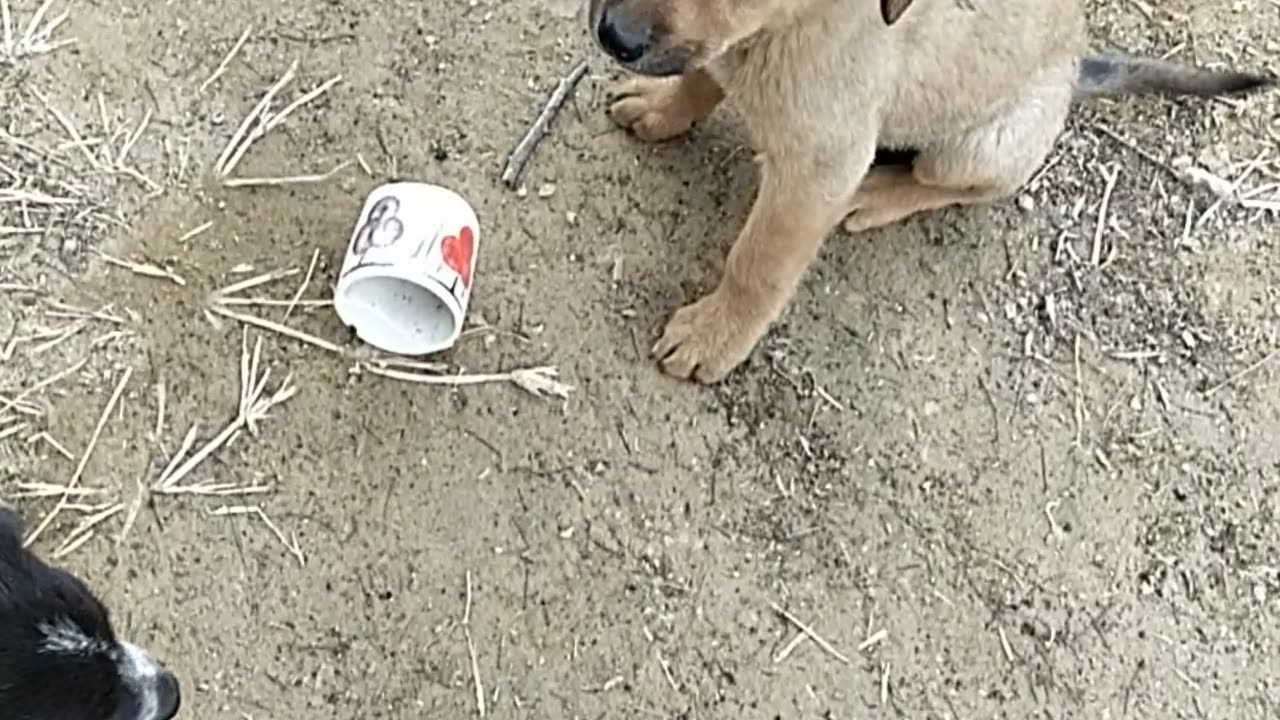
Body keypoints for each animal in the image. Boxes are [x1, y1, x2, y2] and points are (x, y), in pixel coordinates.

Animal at [586, 0, 1269, 384]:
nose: (614, 35)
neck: (790, 25)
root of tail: (1078, 72)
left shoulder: (820, 168)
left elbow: (757, 265)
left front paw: (714, 337)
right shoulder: (724, 54)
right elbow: (702, 76)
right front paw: (661, 108)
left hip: (978, 146)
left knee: (950, 185)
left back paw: (877, 194)